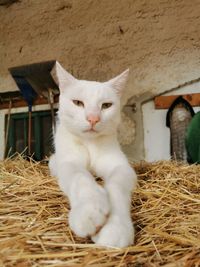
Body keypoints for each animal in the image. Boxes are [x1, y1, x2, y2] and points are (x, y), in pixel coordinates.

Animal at [49, 61, 138, 248]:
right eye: (77, 103)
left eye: (106, 105)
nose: (93, 118)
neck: (90, 143)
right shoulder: (69, 163)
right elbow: (80, 177)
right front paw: (89, 210)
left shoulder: (122, 167)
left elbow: (116, 186)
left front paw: (116, 226)